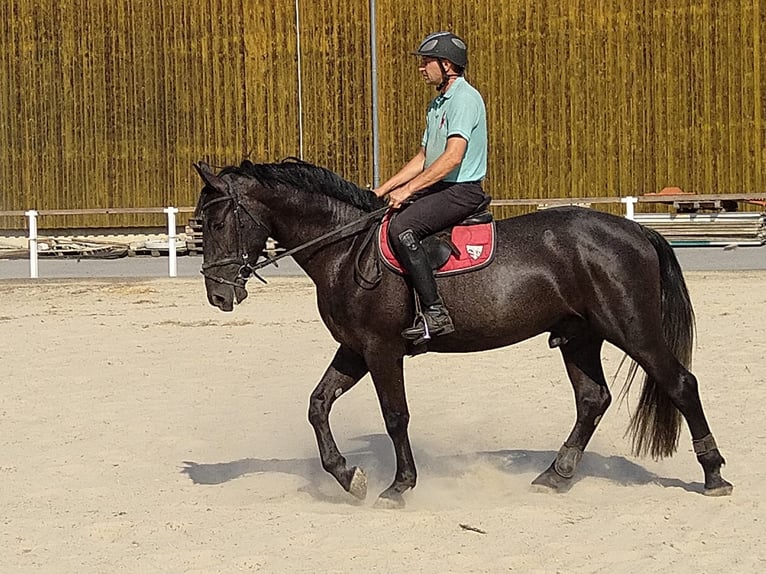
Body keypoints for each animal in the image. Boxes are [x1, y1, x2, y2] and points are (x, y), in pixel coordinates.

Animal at [195, 158, 736, 508]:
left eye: (218, 221)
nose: (219, 295)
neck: (346, 249)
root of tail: (636, 230)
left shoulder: (381, 349)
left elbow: (395, 416)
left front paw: (399, 486)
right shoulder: (353, 348)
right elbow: (317, 405)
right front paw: (348, 477)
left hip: (632, 329)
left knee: (679, 384)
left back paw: (713, 476)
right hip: (580, 336)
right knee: (592, 400)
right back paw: (555, 476)